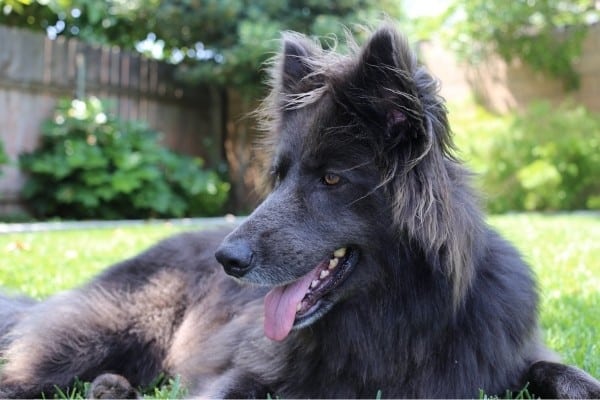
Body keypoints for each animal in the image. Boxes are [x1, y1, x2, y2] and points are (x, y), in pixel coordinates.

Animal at [1, 26, 600, 398]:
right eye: (280, 175)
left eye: (331, 179)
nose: (226, 261)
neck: (394, 315)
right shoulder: (247, 370)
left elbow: (560, 371)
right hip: (94, 338)